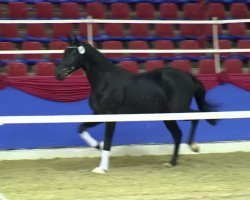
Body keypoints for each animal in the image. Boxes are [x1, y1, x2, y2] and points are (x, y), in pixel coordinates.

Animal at [55, 37, 217, 173]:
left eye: (73, 53)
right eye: (64, 52)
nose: (58, 74)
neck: (105, 81)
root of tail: (189, 76)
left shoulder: (110, 116)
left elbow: (108, 141)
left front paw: (102, 168)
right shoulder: (99, 114)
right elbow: (81, 129)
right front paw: (98, 146)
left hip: (178, 111)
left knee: (196, 117)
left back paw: (194, 146)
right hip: (168, 116)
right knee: (178, 134)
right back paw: (171, 163)